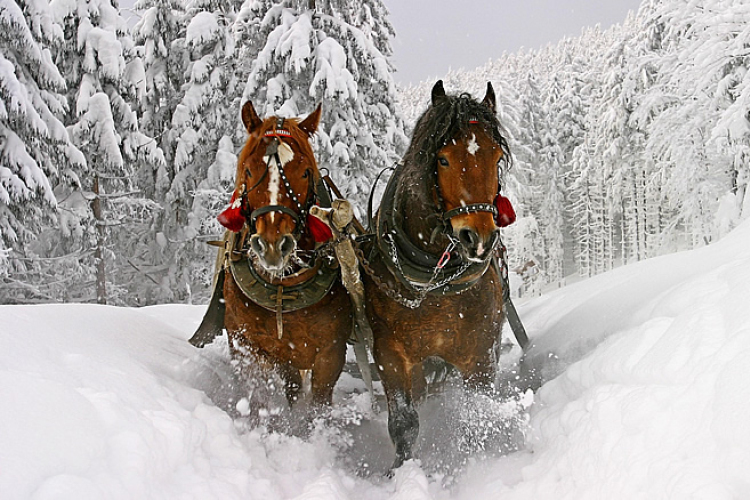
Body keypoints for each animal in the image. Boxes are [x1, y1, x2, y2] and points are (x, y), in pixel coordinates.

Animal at [189, 100, 352, 410]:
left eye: (305, 172)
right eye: (249, 170)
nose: (273, 245)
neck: (282, 288)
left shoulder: (331, 353)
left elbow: (318, 406)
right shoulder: (247, 344)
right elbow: (259, 398)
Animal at [362, 79, 516, 468]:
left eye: (496, 157)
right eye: (443, 159)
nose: (478, 238)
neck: (435, 284)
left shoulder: (481, 352)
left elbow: (476, 414)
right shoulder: (390, 354)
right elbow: (404, 423)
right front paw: (400, 471)